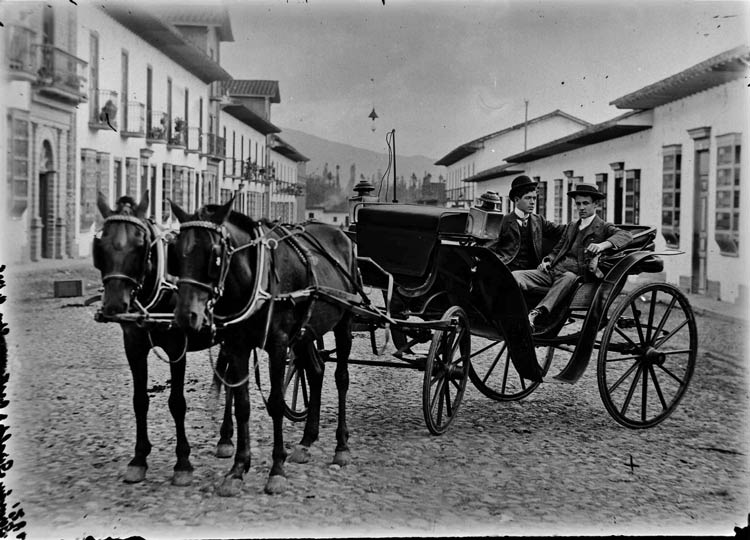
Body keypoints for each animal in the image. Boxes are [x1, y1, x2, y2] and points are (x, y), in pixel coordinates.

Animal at [93, 192, 236, 488]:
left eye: (140, 244)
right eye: (101, 244)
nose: (114, 305)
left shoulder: (176, 347)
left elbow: (177, 403)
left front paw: (183, 462)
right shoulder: (133, 347)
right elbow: (139, 400)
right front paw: (138, 459)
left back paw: (226, 437)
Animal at [172, 197, 360, 494]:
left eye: (214, 253)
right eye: (176, 251)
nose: (185, 316)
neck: (256, 279)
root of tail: (343, 237)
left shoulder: (279, 345)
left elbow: (276, 403)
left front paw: (276, 469)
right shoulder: (237, 345)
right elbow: (242, 404)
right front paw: (238, 468)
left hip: (344, 323)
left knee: (341, 378)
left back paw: (341, 446)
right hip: (306, 332)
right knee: (316, 372)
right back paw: (306, 441)